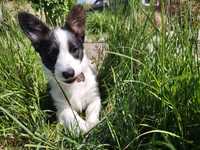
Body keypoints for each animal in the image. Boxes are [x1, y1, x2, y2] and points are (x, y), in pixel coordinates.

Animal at [18, 4, 101, 134]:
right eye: (52, 54)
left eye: (74, 50)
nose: (68, 73)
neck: (73, 86)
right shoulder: (61, 107)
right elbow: (71, 115)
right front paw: (82, 126)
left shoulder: (94, 96)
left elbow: (92, 110)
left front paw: (92, 123)